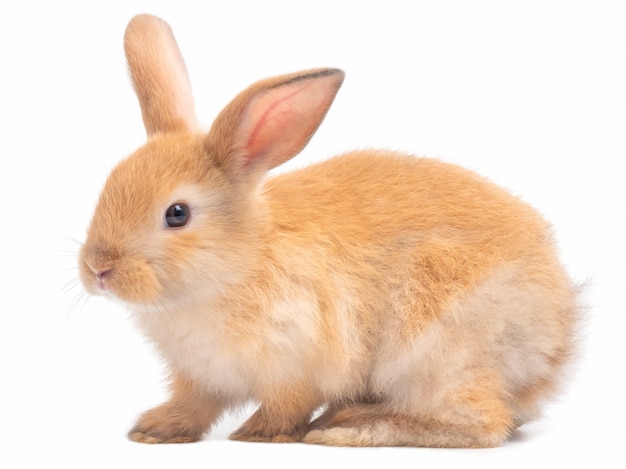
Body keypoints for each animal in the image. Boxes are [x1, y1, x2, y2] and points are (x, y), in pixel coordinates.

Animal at [79, 13, 580, 446]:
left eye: (177, 214)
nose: (99, 269)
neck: (238, 262)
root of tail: (553, 349)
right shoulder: (200, 377)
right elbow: (195, 405)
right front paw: (154, 430)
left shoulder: (298, 359)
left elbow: (286, 406)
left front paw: (257, 434)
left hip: (436, 349)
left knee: (482, 422)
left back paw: (348, 428)